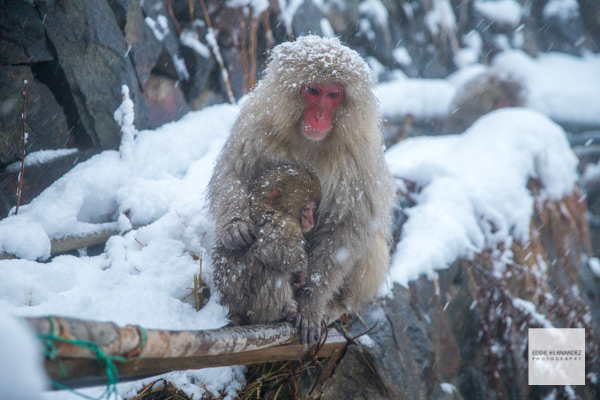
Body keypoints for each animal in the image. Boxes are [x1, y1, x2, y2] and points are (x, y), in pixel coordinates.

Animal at [209, 36, 396, 346]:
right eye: (312, 90)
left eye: (333, 94)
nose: (319, 116)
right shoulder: (257, 121)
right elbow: (235, 172)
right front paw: (235, 226)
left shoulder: (361, 151)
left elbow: (349, 226)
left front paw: (311, 303)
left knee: (368, 242)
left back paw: (337, 306)